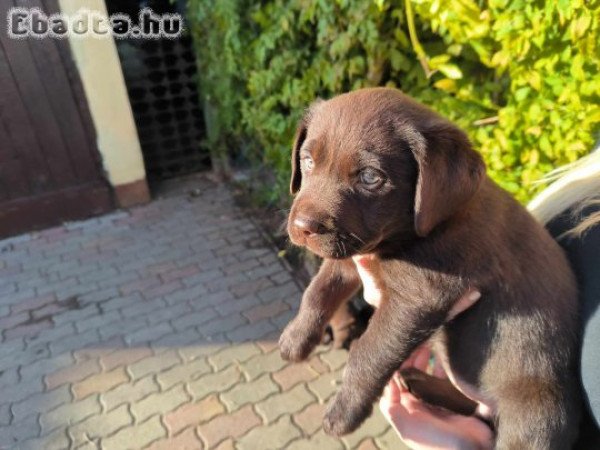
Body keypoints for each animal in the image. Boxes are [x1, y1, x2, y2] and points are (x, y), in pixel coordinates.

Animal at [280, 88, 580, 446]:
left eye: (370, 177)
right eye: (308, 161)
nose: (303, 227)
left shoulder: (420, 296)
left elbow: (368, 352)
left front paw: (343, 413)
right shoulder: (351, 253)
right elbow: (317, 292)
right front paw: (295, 339)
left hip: (536, 409)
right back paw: (418, 382)